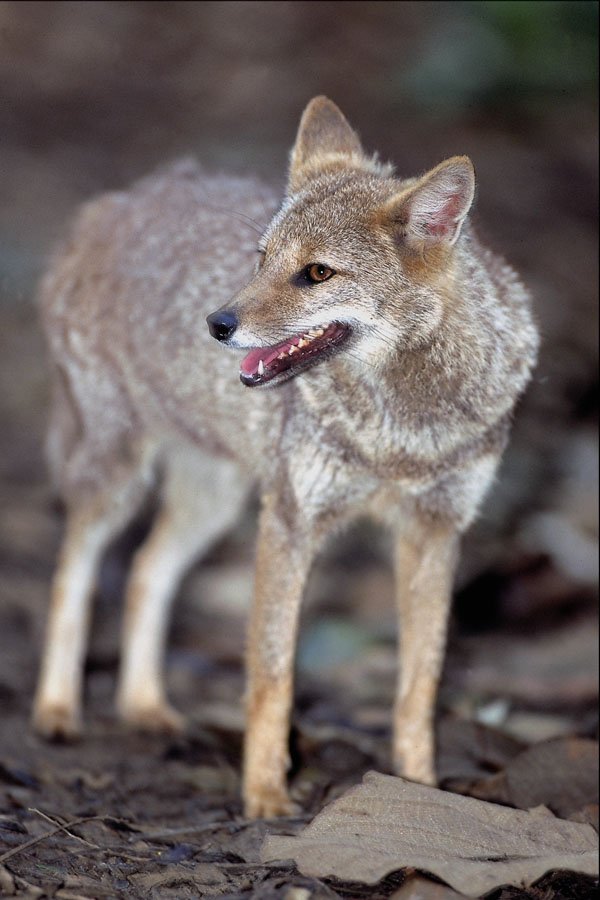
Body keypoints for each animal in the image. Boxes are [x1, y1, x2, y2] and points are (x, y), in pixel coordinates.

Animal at [31, 96, 538, 818]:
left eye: (317, 273)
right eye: (262, 258)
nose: (217, 324)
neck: (403, 434)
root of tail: (115, 201)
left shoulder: (435, 533)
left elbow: (420, 683)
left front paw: (420, 787)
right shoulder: (290, 522)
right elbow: (272, 675)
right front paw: (266, 796)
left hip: (213, 503)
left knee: (145, 571)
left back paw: (146, 707)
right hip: (118, 480)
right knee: (72, 571)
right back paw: (55, 711)